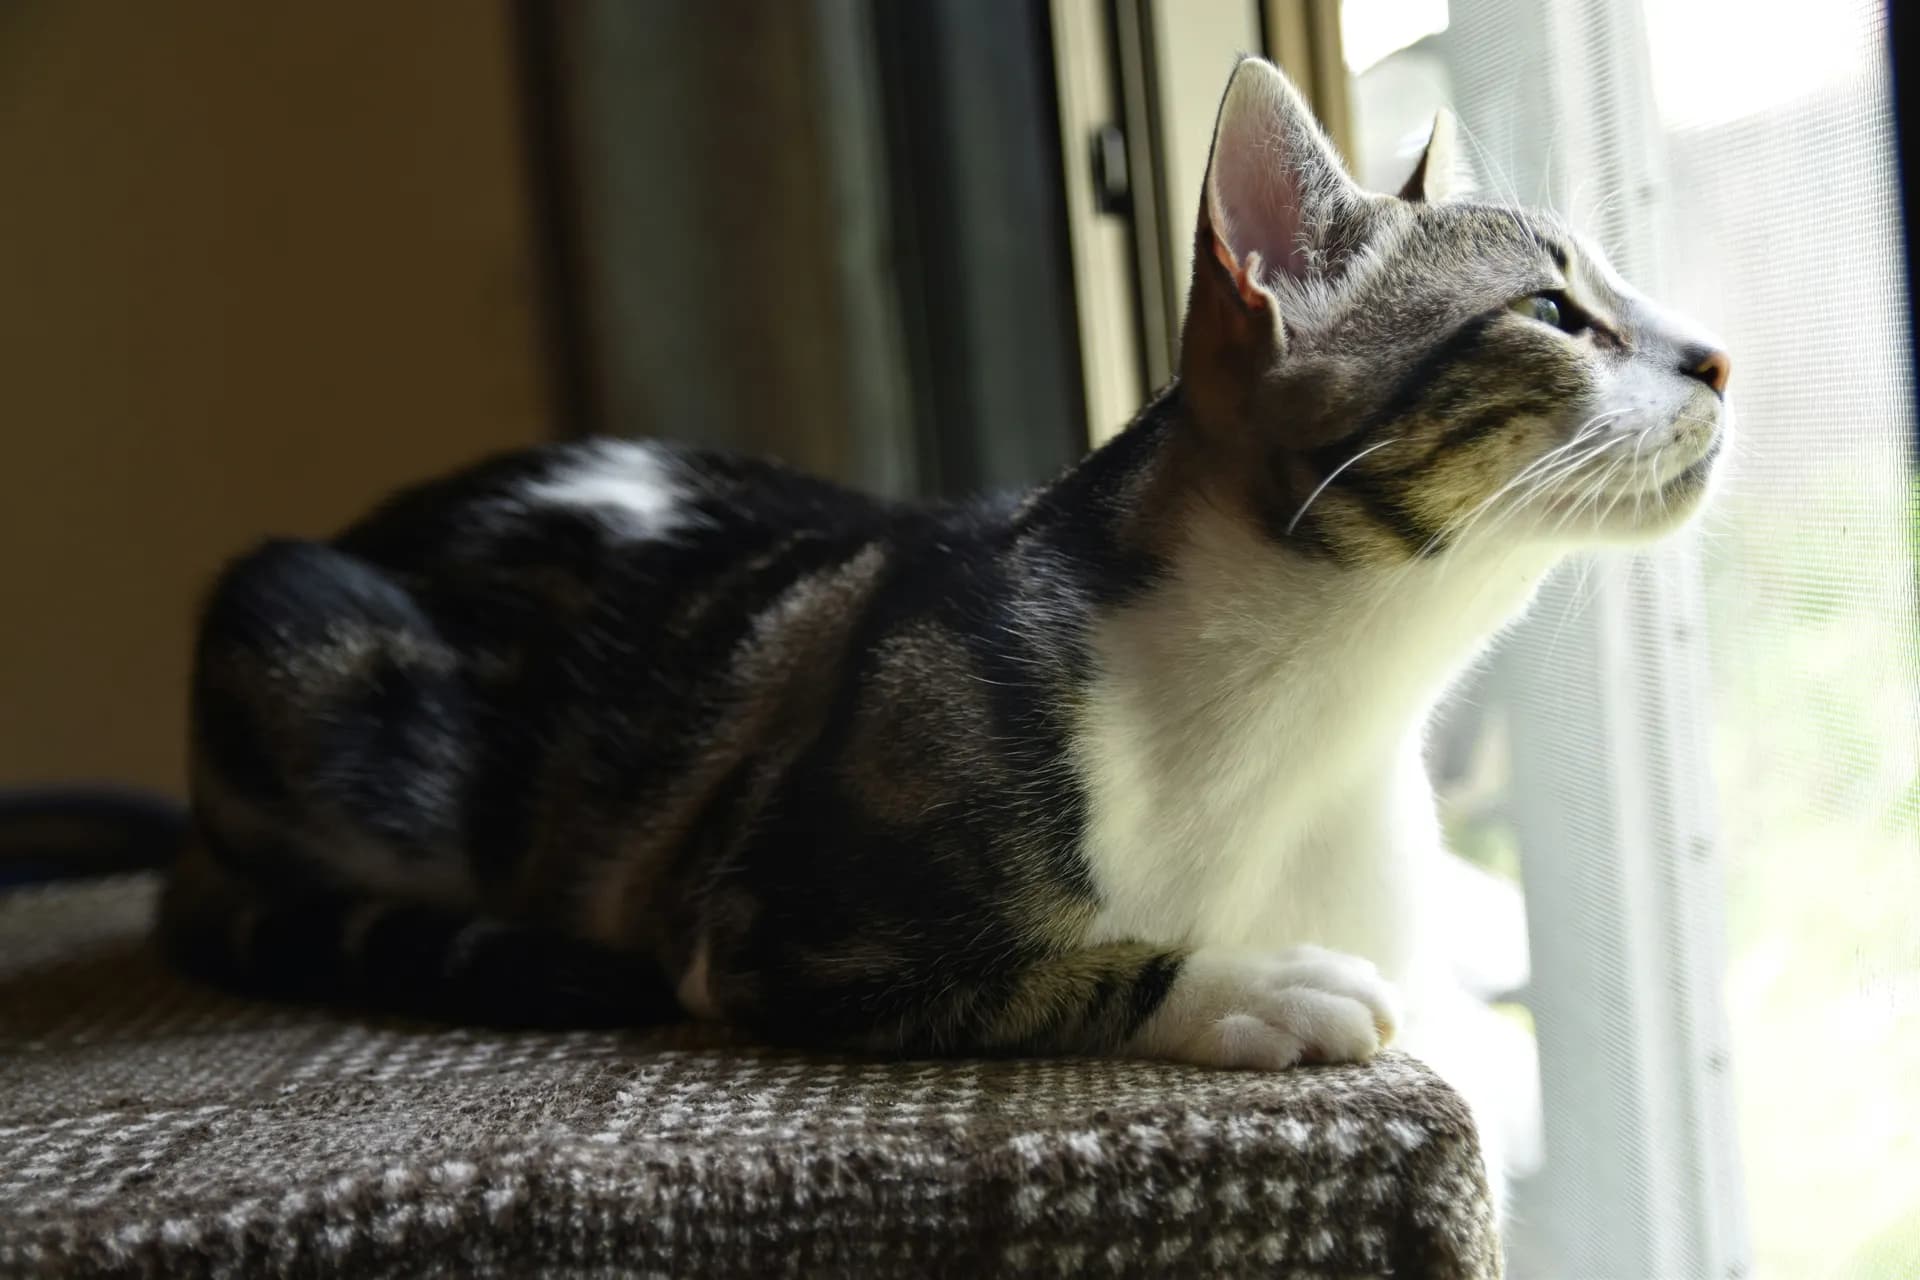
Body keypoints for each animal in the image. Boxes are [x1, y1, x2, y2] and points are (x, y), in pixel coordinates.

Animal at [161, 55, 1728, 1090]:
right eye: (1555, 311)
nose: (1718, 355)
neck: (1327, 711)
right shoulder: (767, 923)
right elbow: (1035, 972)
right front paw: (1258, 982)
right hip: (299, 633)